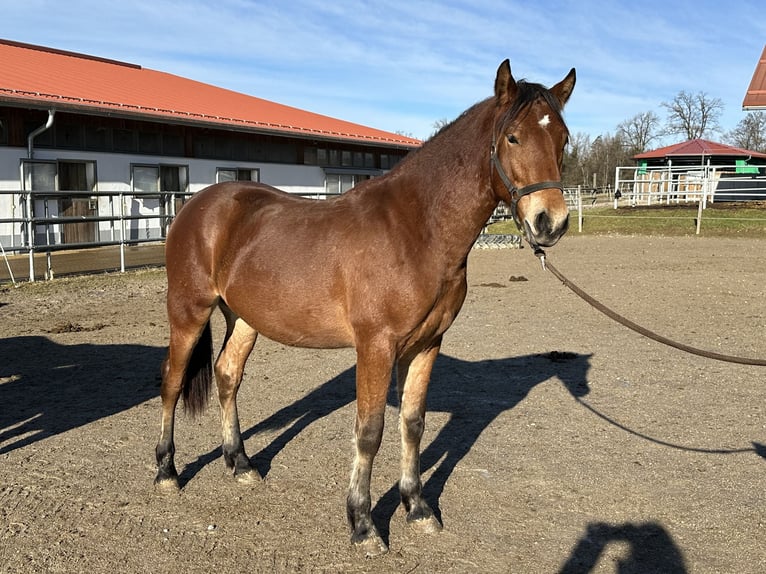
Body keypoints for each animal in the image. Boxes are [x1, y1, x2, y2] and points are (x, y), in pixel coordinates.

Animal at [156, 62, 576, 560]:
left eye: (563, 139)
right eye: (512, 137)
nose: (550, 222)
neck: (416, 229)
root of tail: (197, 205)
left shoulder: (426, 345)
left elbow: (412, 424)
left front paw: (417, 508)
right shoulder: (376, 346)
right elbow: (370, 431)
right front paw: (363, 524)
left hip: (243, 319)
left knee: (226, 376)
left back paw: (240, 464)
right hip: (188, 312)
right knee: (172, 382)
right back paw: (166, 472)